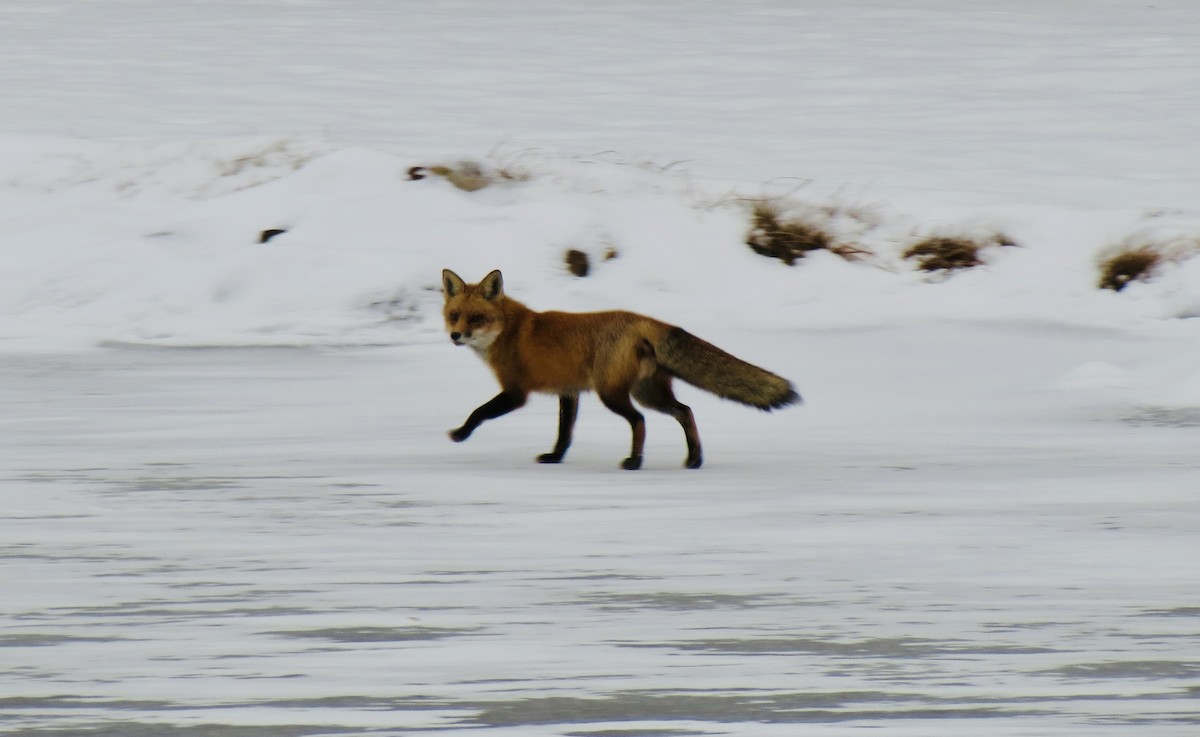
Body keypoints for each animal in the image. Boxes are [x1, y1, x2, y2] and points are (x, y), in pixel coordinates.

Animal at [441, 268, 800, 470]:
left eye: (476, 318)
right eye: (454, 315)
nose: (455, 336)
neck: (510, 331)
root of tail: (644, 319)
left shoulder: (516, 393)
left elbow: (479, 412)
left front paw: (460, 433)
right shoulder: (568, 392)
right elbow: (564, 434)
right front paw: (555, 458)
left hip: (613, 394)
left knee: (639, 421)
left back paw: (635, 462)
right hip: (649, 393)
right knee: (685, 411)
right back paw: (694, 459)